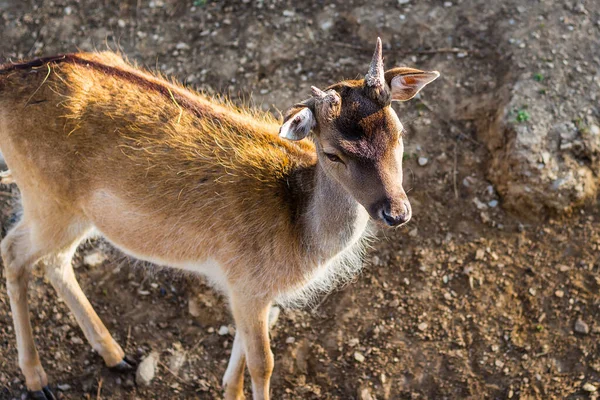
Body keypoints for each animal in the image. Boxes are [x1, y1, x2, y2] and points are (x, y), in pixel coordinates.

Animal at [1, 38, 440, 400]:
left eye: (399, 131)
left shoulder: (247, 289)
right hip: (46, 198)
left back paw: (116, 355)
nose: (396, 211)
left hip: (76, 214)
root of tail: (9, 74)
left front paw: (229, 390)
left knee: (55, 260)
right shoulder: (247, 281)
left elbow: (244, 349)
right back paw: (37, 382)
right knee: (14, 251)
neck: (298, 233)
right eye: (333, 153)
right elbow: (263, 363)